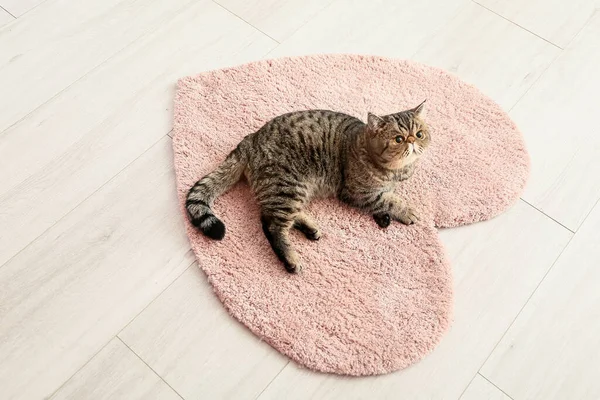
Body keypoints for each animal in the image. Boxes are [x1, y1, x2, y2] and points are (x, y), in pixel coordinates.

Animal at [185, 101, 428, 274]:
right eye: (398, 139)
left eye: (419, 134)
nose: (412, 141)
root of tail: (251, 139)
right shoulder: (355, 192)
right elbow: (386, 199)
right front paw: (406, 211)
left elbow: (386, 196)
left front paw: (384, 215)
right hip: (288, 187)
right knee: (271, 225)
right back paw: (291, 258)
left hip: (295, 191)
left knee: (277, 216)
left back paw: (310, 228)